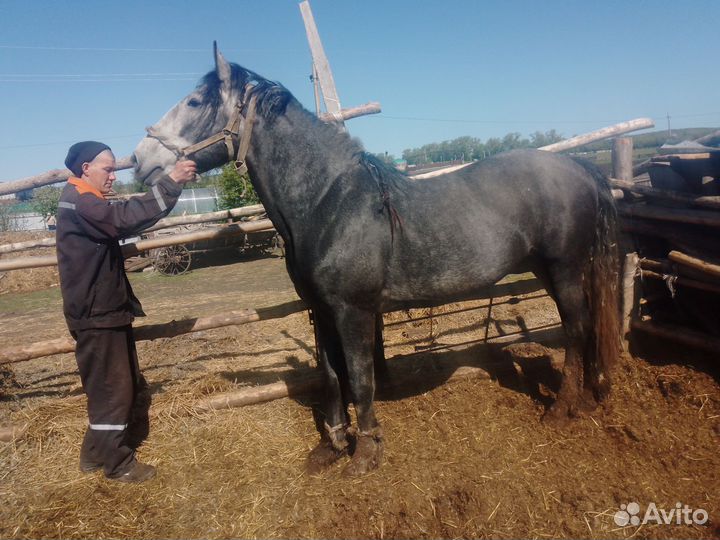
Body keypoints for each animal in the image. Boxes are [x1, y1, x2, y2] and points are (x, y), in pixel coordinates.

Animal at [133, 46, 621, 476]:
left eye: (195, 101)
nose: (140, 159)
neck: (329, 203)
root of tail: (581, 168)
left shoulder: (354, 312)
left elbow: (361, 377)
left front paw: (366, 453)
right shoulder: (321, 311)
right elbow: (331, 376)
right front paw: (330, 447)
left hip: (564, 268)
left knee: (576, 328)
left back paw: (561, 409)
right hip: (549, 269)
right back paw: (587, 397)